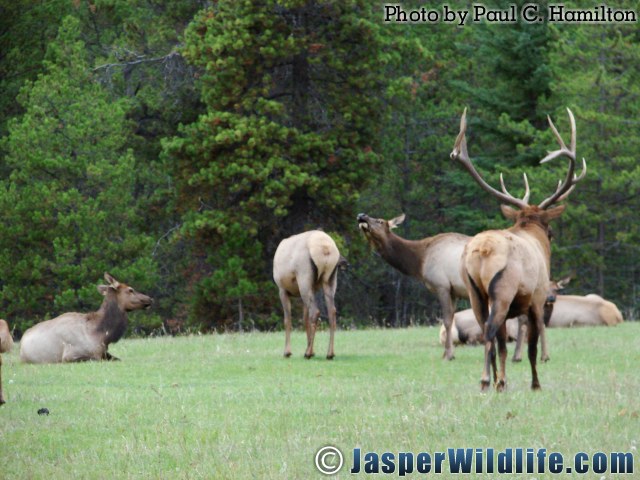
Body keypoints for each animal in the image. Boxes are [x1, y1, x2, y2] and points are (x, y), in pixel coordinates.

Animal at [273, 230, 343, 360]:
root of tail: (325, 248)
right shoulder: (311, 290)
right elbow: (305, 320)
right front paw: (311, 349)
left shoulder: (282, 289)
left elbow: (287, 320)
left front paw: (287, 352)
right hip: (329, 280)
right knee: (332, 312)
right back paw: (329, 353)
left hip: (304, 277)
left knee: (315, 312)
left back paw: (308, 353)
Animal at [357, 213, 470, 360]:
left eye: (380, 221)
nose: (361, 215)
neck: (420, 261)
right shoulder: (453, 291)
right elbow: (450, 318)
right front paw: (449, 353)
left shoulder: (442, 286)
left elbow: (447, 321)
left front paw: (448, 355)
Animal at [451, 108, 586, 391]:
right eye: (551, 231)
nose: (551, 236)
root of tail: (481, 250)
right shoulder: (536, 298)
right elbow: (532, 346)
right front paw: (535, 384)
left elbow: (505, 346)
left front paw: (503, 380)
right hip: (503, 290)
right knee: (490, 330)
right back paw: (485, 379)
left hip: (474, 292)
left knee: (491, 334)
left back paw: (493, 380)